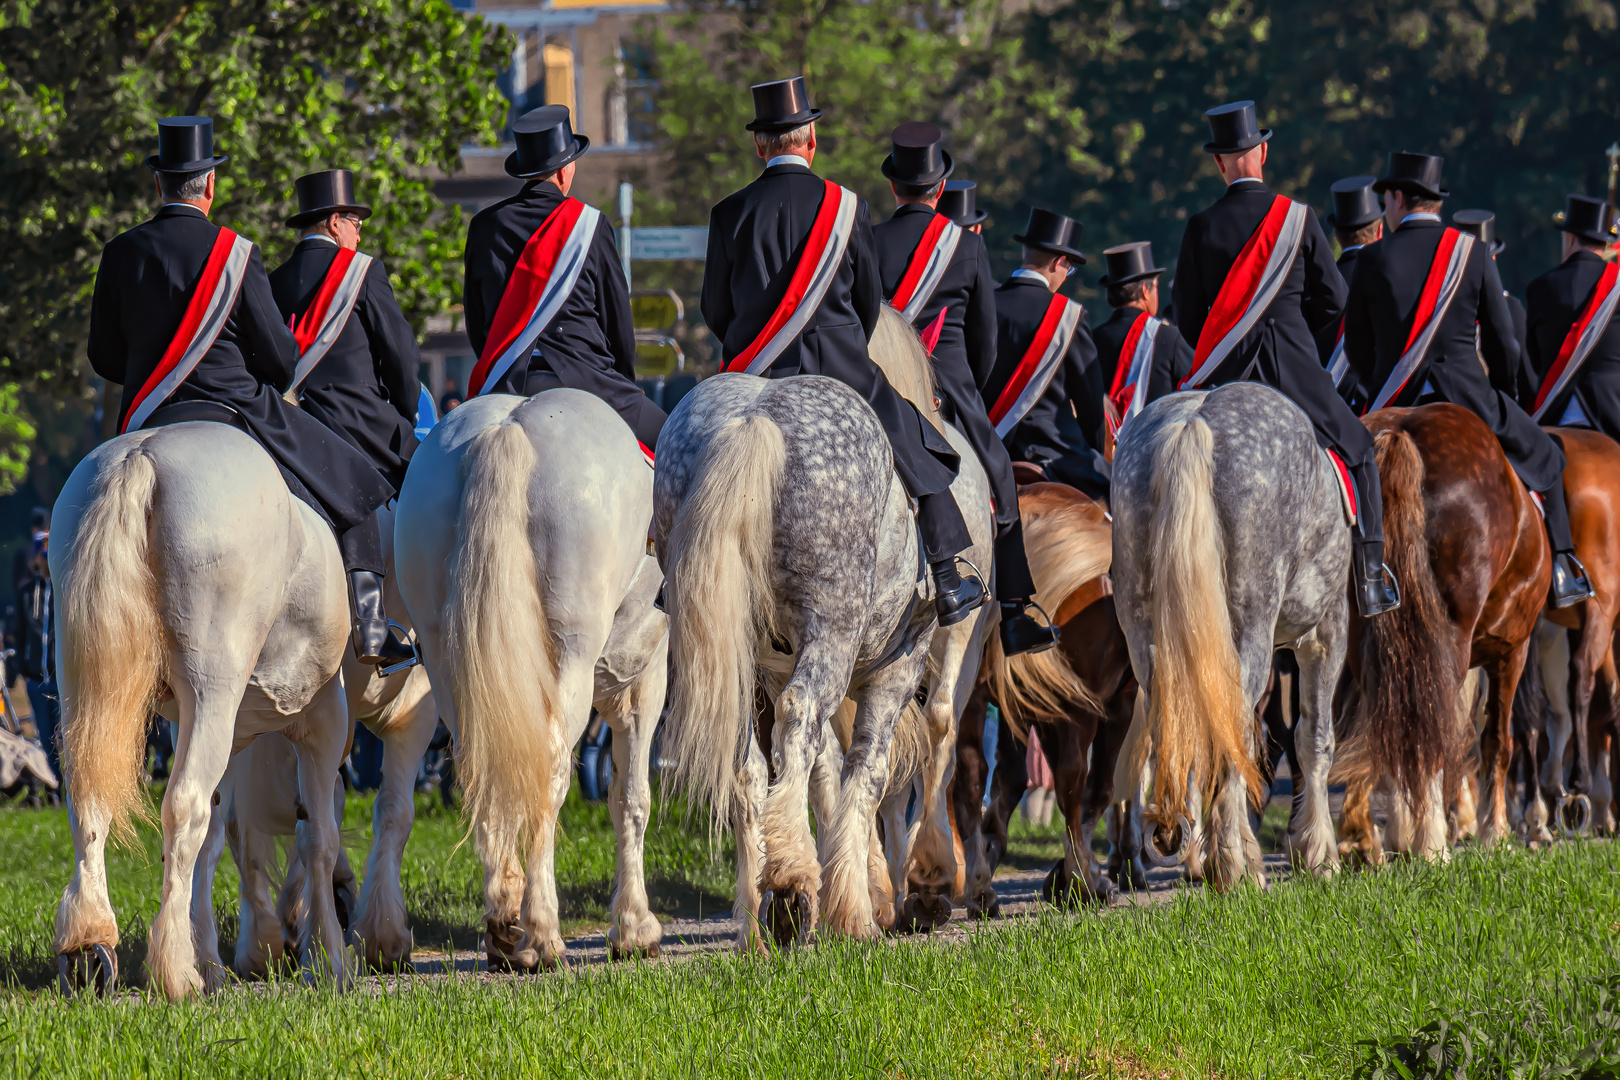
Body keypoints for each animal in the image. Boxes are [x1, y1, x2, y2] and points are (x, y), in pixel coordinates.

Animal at [52, 420, 353, 997]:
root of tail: (142, 453)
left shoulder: (225, 734)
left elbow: (217, 842)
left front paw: (216, 957)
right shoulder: (323, 724)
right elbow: (318, 840)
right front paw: (329, 958)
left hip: (84, 683)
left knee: (90, 802)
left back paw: (92, 940)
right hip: (212, 688)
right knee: (183, 804)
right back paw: (174, 969)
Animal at [395, 390, 667, 971]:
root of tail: (508, 427)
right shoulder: (643, 682)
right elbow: (631, 799)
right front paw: (634, 927)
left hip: (448, 665)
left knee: (482, 766)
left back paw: (504, 918)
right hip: (569, 659)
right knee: (549, 772)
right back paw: (541, 935)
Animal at [946, 482, 1134, 913]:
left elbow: (1011, 780)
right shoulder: (1113, 703)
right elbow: (1095, 788)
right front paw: (1077, 877)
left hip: (977, 696)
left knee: (970, 775)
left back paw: (980, 886)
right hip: (1075, 709)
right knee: (1072, 780)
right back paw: (1082, 879)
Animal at [1114, 380, 1354, 887]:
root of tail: (1192, 422)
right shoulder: (1326, 632)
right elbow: (1314, 740)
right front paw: (1319, 854)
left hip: (1147, 636)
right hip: (1250, 632)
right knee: (1234, 735)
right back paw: (1235, 866)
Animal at [1334, 401, 1548, 854]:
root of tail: (1400, 430)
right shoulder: (1511, 650)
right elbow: (1496, 742)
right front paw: (1494, 833)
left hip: (1365, 638)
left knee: (1393, 725)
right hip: (1451, 640)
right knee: (1431, 731)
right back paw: (1433, 847)